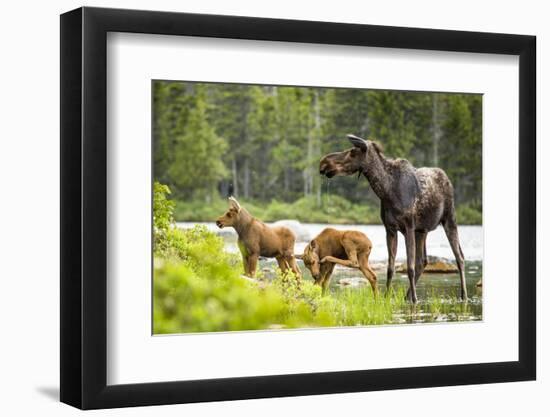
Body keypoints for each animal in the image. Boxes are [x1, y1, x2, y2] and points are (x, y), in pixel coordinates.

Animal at [322, 135, 468, 300]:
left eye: (352, 152)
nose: (325, 162)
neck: (387, 192)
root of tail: (447, 178)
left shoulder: (409, 226)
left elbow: (409, 267)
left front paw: (415, 301)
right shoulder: (390, 228)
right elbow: (391, 268)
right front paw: (386, 297)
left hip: (449, 219)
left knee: (459, 257)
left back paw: (463, 295)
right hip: (422, 230)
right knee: (423, 261)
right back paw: (407, 296)